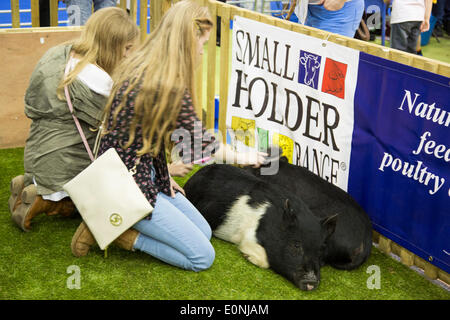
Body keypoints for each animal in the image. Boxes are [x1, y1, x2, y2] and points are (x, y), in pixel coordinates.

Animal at [184, 164, 338, 292]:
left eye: (321, 249)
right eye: (296, 245)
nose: (311, 282)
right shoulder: (248, 234)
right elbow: (263, 259)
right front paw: (247, 257)